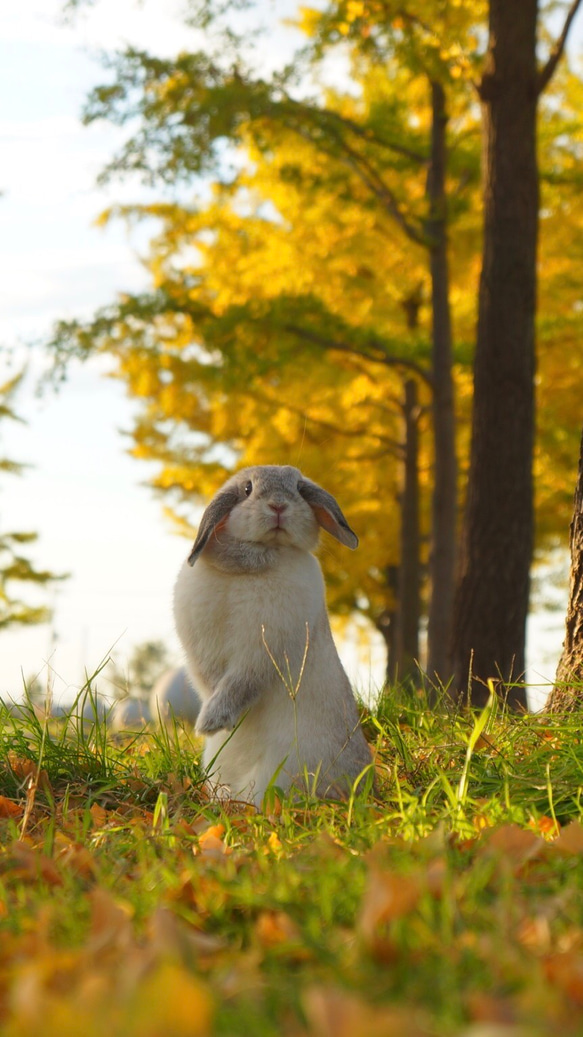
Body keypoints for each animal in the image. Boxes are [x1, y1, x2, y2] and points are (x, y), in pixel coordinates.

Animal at [172, 464, 371, 808]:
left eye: (299, 488)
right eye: (247, 489)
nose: (278, 505)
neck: (255, 562)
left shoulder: (263, 650)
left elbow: (239, 684)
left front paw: (210, 723)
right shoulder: (201, 649)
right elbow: (210, 681)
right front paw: (215, 724)